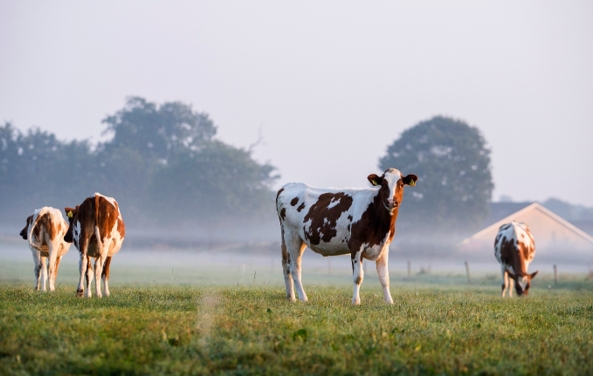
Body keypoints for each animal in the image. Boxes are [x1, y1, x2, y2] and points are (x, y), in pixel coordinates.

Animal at [276, 169, 416, 304]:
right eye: (383, 185)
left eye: (401, 185)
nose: (391, 202)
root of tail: (287, 186)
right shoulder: (356, 245)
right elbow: (358, 277)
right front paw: (356, 301)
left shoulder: (384, 247)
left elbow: (384, 277)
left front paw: (389, 301)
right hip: (292, 236)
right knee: (294, 268)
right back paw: (303, 298)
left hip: (297, 239)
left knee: (286, 265)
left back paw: (291, 297)